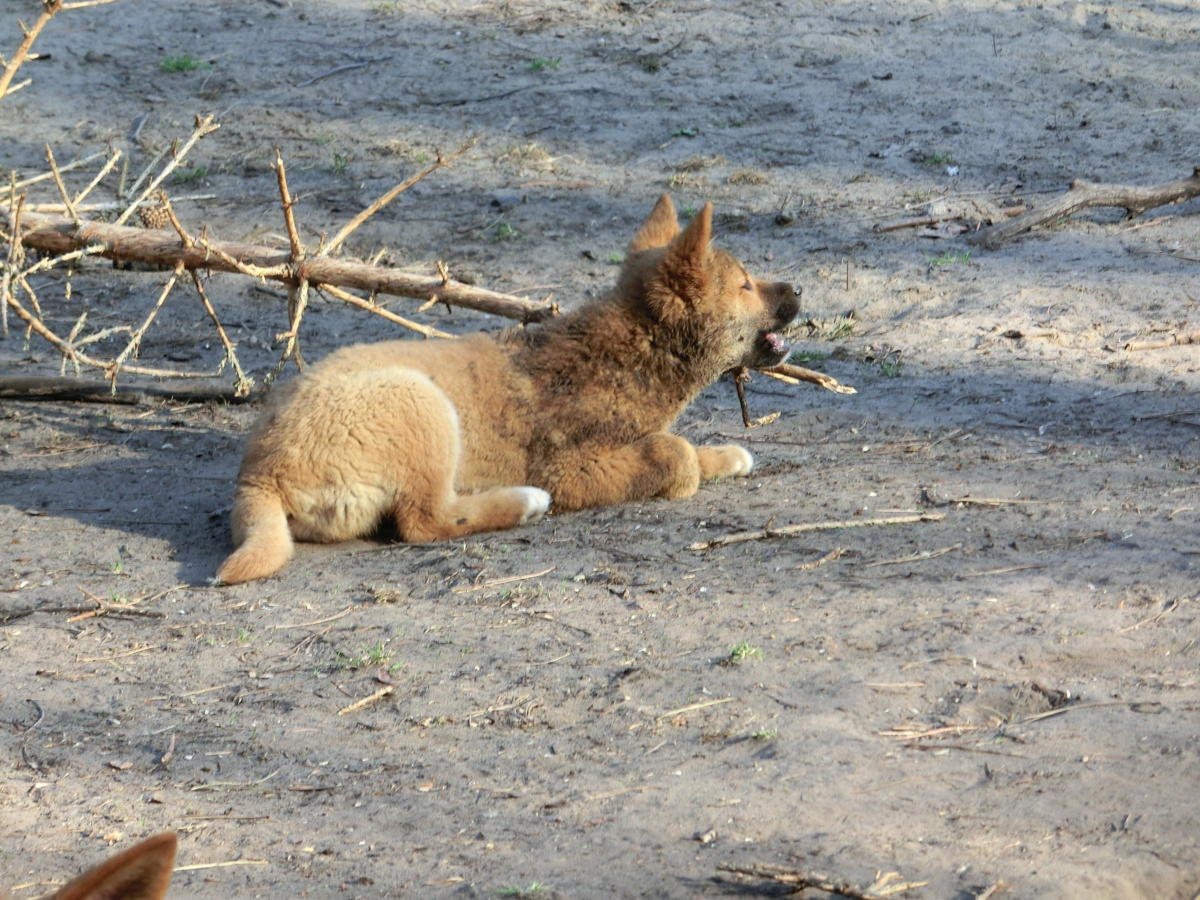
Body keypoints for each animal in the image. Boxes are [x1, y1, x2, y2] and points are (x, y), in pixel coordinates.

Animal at [218, 196, 796, 585]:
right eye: (746, 285)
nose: (799, 288)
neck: (623, 354)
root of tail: (256, 476)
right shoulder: (570, 468)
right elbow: (676, 455)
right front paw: (694, 463)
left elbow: (691, 448)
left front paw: (726, 456)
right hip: (423, 405)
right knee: (424, 521)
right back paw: (523, 503)